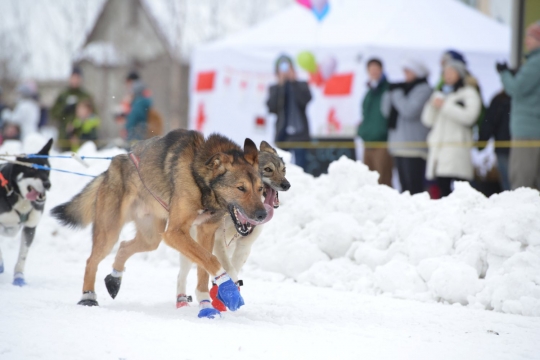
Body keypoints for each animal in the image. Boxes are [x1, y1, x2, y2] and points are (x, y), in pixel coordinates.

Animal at [0, 139, 52, 286]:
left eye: (47, 169)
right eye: (31, 169)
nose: (47, 184)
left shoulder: (30, 227)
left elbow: (23, 255)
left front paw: (19, 277)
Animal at [51, 129, 266, 310]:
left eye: (260, 189)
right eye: (241, 188)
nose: (262, 215)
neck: (199, 176)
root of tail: (113, 165)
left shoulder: (205, 231)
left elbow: (204, 267)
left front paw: (205, 300)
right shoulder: (175, 233)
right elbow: (210, 259)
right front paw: (228, 288)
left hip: (151, 237)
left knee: (124, 246)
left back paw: (115, 278)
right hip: (109, 232)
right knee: (91, 260)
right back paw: (88, 297)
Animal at [177, 141, 288, 316]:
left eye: (284, 170)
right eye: (268, 169)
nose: (286, 184)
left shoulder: (244, 246)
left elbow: (233, 268)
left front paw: (225, 293)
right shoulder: (218, 241)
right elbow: (228, 269)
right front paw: (227, 292)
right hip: (190, 251)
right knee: (181, 276)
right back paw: (181, 303)